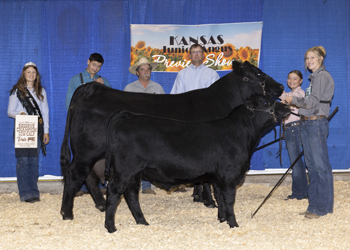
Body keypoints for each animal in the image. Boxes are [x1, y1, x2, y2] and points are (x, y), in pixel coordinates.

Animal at [60, 61, 284, 221]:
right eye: (257, 74)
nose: (281, 86)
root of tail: (91, 88)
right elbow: (208, 181)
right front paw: (209, 201)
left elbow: (203, 179)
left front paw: (198, 197)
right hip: (87, 150)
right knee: (74, 175)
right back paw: (67, 213)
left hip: (92, 153)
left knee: (89, 177)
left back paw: (98, 204)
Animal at [105, 94, 292, 232]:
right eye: (266, 102)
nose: (288, 107)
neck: (242, 133)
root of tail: (127, 115)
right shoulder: (229, 175)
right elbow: (229, 199)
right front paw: (233, 224)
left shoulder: (218, 178)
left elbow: (220, 198)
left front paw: (222, 219)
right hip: (125, 169)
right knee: (114, 191)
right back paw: (111, 227)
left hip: (135, 173)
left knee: (131, 194)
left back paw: (142, 222)